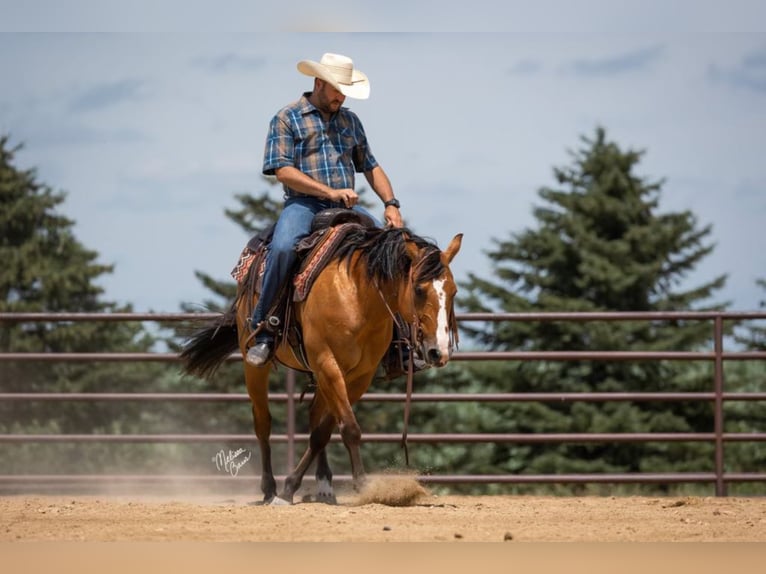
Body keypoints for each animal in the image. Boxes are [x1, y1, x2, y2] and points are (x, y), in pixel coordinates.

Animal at [183, 223, 464, 506]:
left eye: (453, 291)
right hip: (254, 364)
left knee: (313, 416)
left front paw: (293, 486)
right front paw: (361, 486)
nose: (438, 351)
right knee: (263, 422)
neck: (359, 296)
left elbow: (322, 432)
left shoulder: (359, 376)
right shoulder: (327, 363)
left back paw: (323, 486)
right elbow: (349, 428)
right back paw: (269, 489)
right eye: (419, 289)